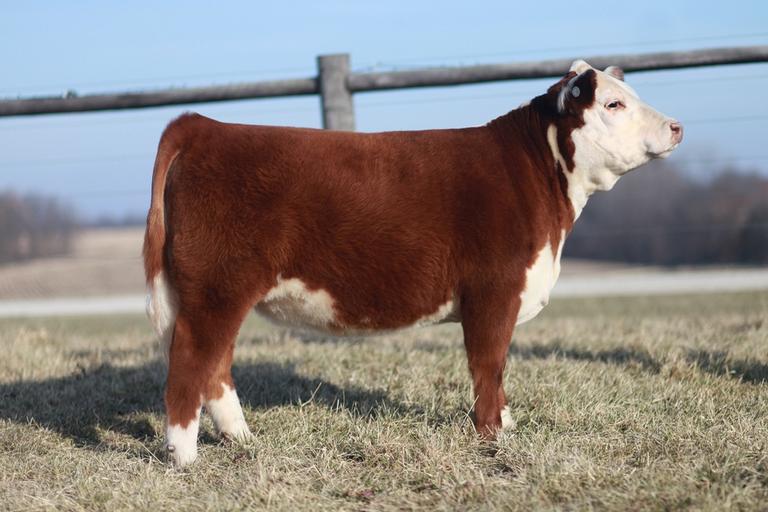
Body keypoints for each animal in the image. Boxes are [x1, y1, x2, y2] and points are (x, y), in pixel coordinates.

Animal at [144, 59, 682, 466]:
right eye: (613, 104)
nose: (676, 126)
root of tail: (203, 126)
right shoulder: (494, 290)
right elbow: (489, 363)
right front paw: (493, 436)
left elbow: (496, 369)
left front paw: (506, 425)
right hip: (217, 286)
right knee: (191, 359)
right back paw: (185, 457)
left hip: (218, 291)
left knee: (215, 364)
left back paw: (241, 437)